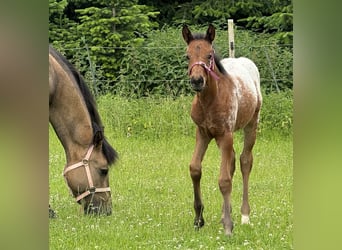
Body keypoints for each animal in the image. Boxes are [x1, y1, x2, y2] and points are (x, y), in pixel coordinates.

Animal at [182, 24, 262, 235]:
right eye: (187, 56)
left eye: (210, 55)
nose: (197, 81)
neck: (210, 101)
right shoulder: (203, 133)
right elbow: (195, 169)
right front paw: (198, 219)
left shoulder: (225, 134)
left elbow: (224, 180)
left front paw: (228, 226)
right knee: (233, 160)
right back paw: (226, 212)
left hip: (251, 125)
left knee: (244, 161)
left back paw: (244, 215)